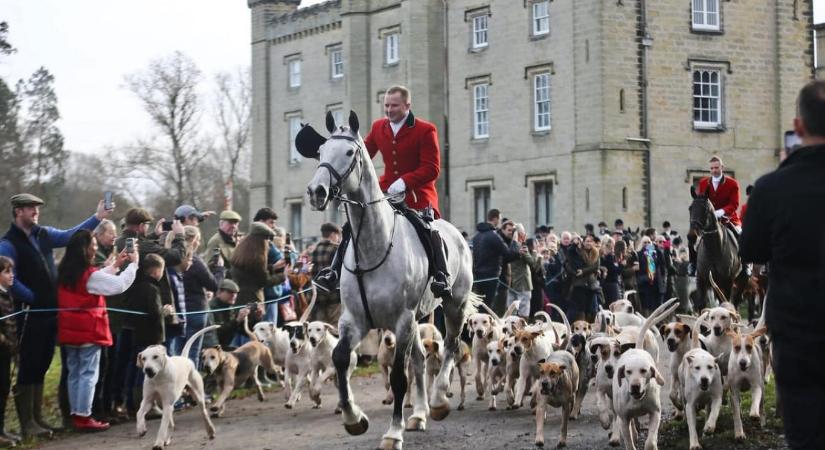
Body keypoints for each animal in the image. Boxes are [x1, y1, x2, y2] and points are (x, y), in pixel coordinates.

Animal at [298, 110, 476, 450]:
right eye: (321, 151)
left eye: (349, 152)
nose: (316, 192)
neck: (373, 246)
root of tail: (457, 234)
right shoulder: (353, 320)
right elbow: (341, 358)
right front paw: (353, 418)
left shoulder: (401, 321)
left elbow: (398, 377)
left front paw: (394, 433)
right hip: (418, 319)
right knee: (420, 359)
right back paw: (418, 415)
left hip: (453, 306)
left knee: (449, 346)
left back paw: (437, 402)